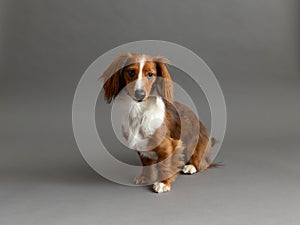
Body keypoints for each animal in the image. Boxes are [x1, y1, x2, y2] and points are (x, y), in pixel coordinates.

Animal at [101, 53, 216, 193]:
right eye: (131, 72)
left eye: (150, 74)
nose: (140, 94)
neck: (139, 111)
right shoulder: (142, 147)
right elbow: (146, 163)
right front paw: (145, 177)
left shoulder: (169, 146)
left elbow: (165, 165)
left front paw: (163, 183)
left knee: (201, 162)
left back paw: (190, 167)